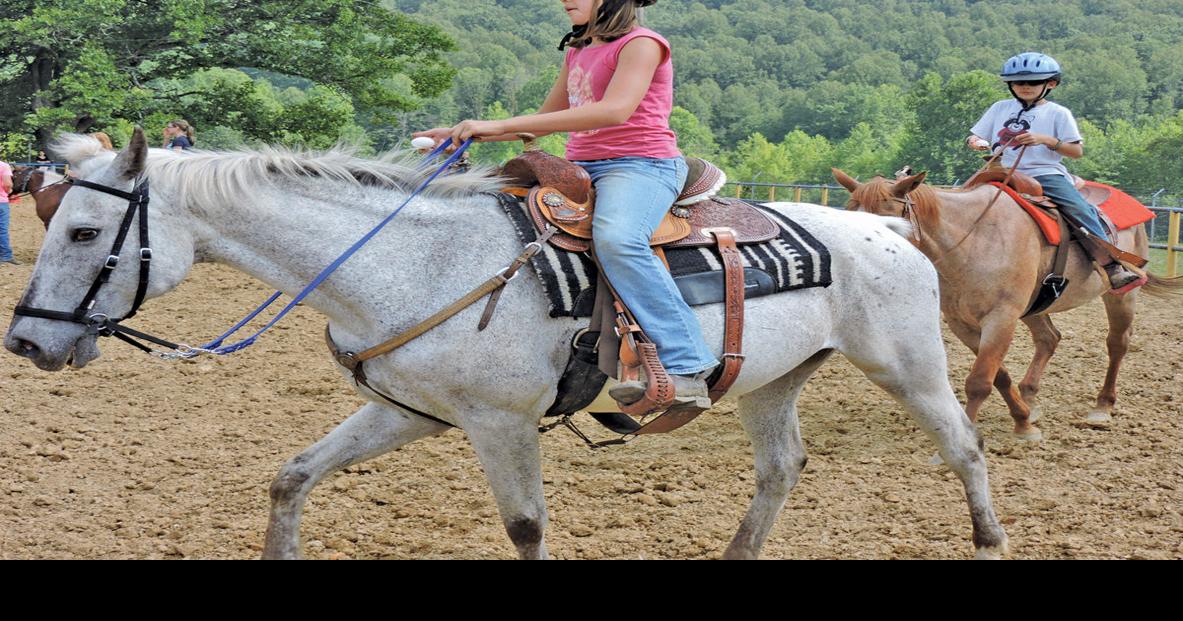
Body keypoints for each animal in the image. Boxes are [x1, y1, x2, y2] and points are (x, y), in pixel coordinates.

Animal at [4, 133, 1012, 558]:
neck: (418, 260)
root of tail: (882, 227)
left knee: (962, 442)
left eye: (84, 231)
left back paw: (989, 539)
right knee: (780, 467)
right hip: (771, 381)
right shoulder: (405, 411)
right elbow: (291, 477)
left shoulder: (500, 424)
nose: (25, 342)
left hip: (908, 365)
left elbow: (526, 527)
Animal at [832, 169, 1183, 437]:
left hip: (1120, 296)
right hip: (1034, 308)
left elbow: (979, 381)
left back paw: (1102, 406)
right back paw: (1030, 399)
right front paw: (1023, 419)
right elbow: (997, 375)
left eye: (887, 226)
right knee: (1049, 338)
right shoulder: (962, 323)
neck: (974, 240)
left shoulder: (1001, 317)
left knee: (1117, 343)